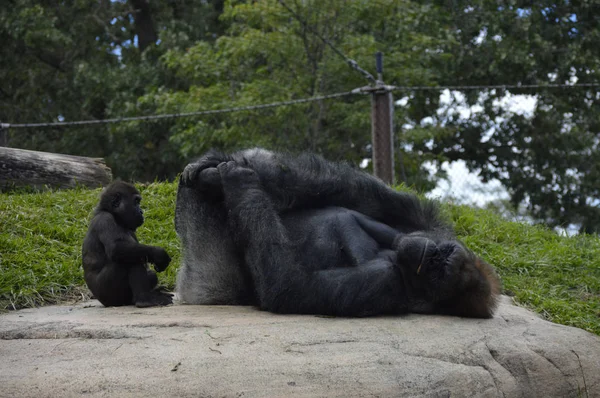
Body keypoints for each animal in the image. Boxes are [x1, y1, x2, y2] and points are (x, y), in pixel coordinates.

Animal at [81, 180, 173, 308]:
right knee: (129, 258)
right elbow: (117, 248)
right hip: (108, 297)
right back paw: (143, 299)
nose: (141, 212)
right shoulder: (105, 220)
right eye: (136, 202)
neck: (115, 216)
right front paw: (158, 254)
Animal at [175, 148, 502, 318]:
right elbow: (355, 193)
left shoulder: (387, 284)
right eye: (442, 254)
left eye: (438, 270)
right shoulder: (430, 224)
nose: (430, 253)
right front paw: (220, 162)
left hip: (208, 281)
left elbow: (289, 286)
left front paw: (241, 180)